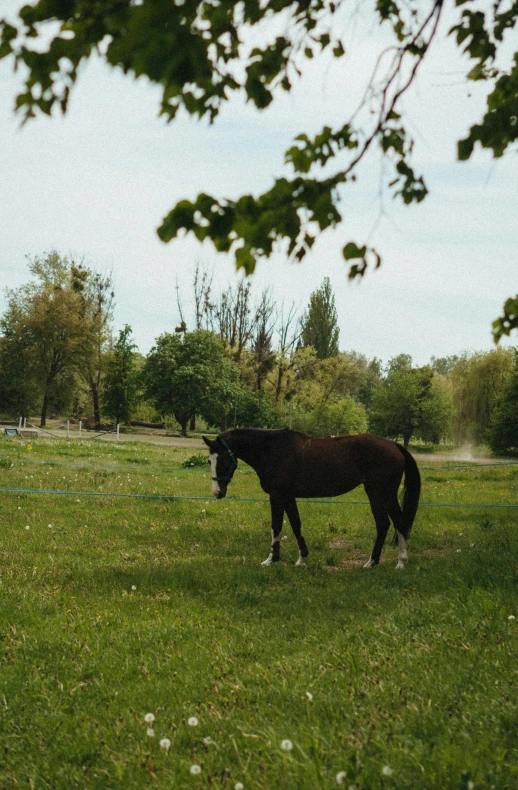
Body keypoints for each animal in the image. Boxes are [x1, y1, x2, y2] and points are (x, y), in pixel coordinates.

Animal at [203, 430, 422, 572]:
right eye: (209, 461)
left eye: (221, 461)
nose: (217, 492)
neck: (272, 450)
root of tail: (393, 445)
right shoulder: (288, 497)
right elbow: (295, 525)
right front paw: (302, 558)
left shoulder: (277, 496)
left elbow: (276, 526)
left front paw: (271, 560)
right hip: (378, 494)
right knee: (388, 524)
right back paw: (380, 562)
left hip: (382, 493)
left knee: (394, 523)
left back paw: (395, 562)